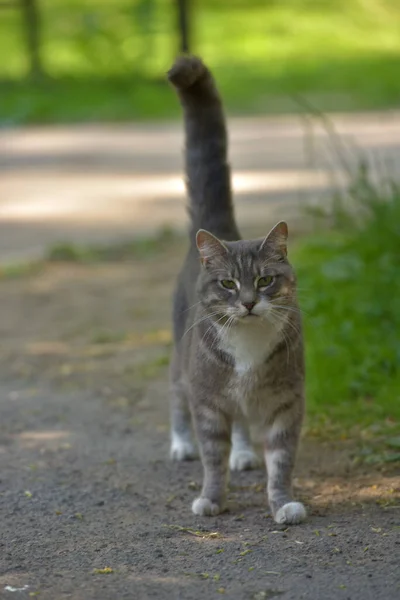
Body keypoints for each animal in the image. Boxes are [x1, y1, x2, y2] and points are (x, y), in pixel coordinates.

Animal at [167, 57, 304, 524]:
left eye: (264, 280)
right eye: (228, 283)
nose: (246, 303)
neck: (247, 344)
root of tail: (220, 227)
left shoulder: (287, 403)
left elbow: (281, 460)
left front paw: (282, 503)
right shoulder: (208, 402)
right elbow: (212, 456)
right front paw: (211, 497)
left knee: (242, 424)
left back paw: (243, 453)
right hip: (181, 356)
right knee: (176, 395)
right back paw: (181, 444)